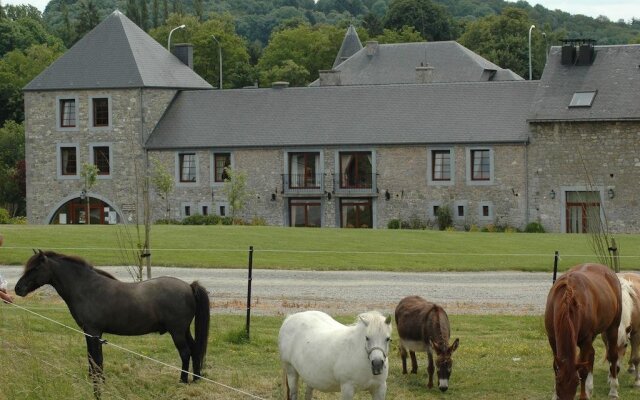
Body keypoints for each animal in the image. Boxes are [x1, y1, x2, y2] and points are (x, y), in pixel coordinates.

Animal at [15, 250, 210, 396]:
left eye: (35, 268)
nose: (18, 289)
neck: (86, 288)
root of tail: (189, 286)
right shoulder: (95, 334)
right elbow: (96, 359)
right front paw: (99, 382)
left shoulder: (92, 332)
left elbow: (95, 360)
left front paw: (97, 386)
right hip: (184, 330)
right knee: (195, 350)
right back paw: (196, 379)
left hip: (177, 331)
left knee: (185, 352)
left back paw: (182, 381)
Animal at [544, 262, 620, 400]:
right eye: (558, 381)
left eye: (576, 382)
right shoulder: (552, 338)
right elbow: (555, 366)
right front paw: (554, 395)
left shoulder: (586, 340)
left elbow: (583, 370)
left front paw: (583, 395)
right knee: (592, 353)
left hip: (613, 327)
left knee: (612, 355)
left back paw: (613, 390)